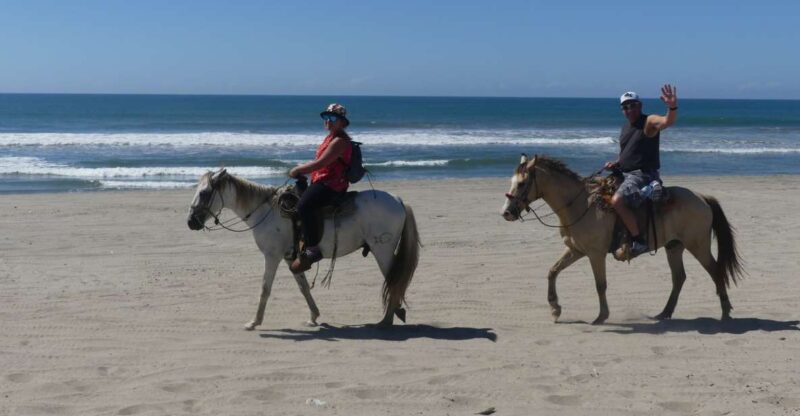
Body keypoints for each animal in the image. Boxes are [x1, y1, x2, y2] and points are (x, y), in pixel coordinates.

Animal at [187, 168, 420, 330]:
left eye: (205, 193)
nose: (190, 222)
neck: (266, 211)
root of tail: (399, 200)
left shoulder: (272, 256)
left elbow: (265, 288)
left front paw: (254, 322)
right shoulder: (292, 259)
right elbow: (304, 287)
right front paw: (313, 317)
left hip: (383, 250)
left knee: (394, 281)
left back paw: (386, 321)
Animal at [501, 154, 744, 324]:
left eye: (522, 183)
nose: (507, 213)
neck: (580, 205)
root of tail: (702, 198)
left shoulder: (595, 254)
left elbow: (600, 284)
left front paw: (601, 316)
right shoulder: (576, 250)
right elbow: (552, 271)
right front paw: (555, 309)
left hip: (698, 246)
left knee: (715, 271)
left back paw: (725, 313)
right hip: (674, 247)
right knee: (679, 278)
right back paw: (664, 313)